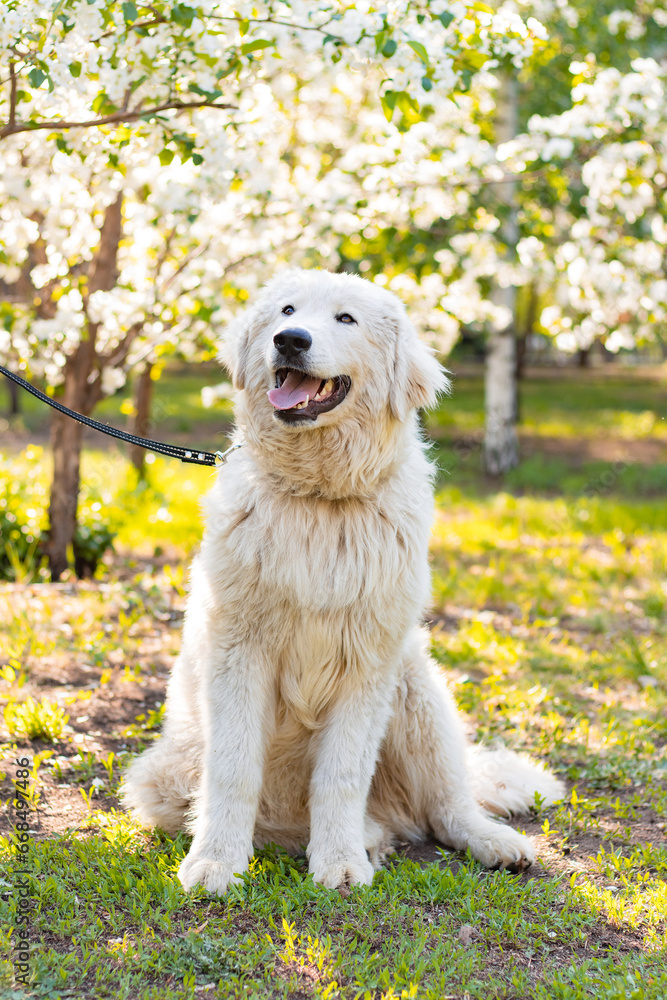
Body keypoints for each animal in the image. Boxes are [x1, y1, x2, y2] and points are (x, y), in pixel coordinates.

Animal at [121, 264, 564, 892]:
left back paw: (484, 842)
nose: (290, 341)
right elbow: (233, 770)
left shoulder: (367, 664)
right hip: (163, 772)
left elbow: (342, 775)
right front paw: (216, 862)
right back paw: (368, 837)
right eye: (286, 311)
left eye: (345, 319)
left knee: (447, 807)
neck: (320, 499)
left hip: (416, 689)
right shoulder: (238, 654)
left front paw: (340, 862)